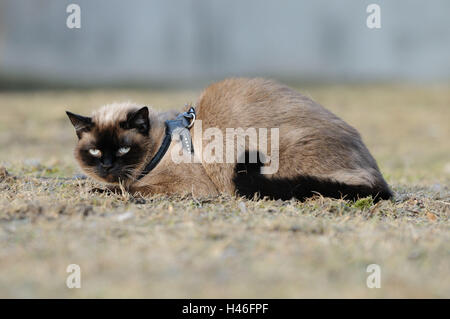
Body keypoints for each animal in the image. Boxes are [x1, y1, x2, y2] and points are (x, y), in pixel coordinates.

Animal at [65, 78, 392, 201]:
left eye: (123, 149)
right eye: (95, 152)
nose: (107, 166)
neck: (163, 144)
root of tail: (380, 179)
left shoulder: (187, 185)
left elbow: (130, 187)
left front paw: (103, 189)